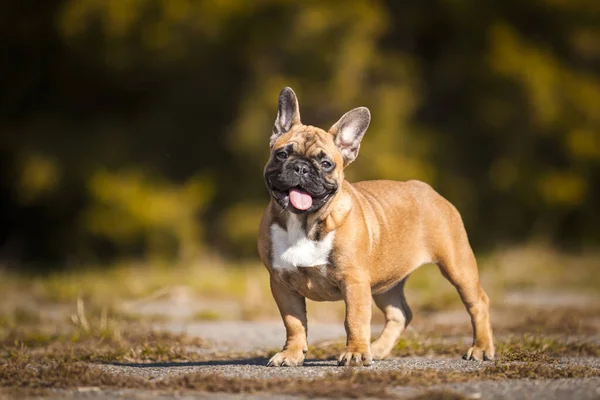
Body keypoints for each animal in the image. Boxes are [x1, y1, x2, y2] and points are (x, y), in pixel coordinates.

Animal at [255, 87, 494, 366]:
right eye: (282, 154)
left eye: (326, 164)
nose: (301, 167)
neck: (304, 223)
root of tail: (428, 189)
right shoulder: (282, 284)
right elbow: (294, 323)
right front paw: (291, 354)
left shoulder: (354, 281)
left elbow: (354, 320)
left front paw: (356, 353)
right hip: (385, 282)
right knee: (400, 313)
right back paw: (379, 349)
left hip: (457, 265)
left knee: (477, 303)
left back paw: (481, 348)